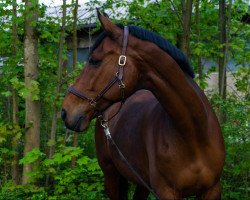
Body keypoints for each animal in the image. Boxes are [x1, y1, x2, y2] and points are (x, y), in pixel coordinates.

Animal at [61, 11, 226, 199]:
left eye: (94, 61)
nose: (65, 111)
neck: (194, 135)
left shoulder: (212, 190)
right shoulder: (166, 191)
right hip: (111, 175)